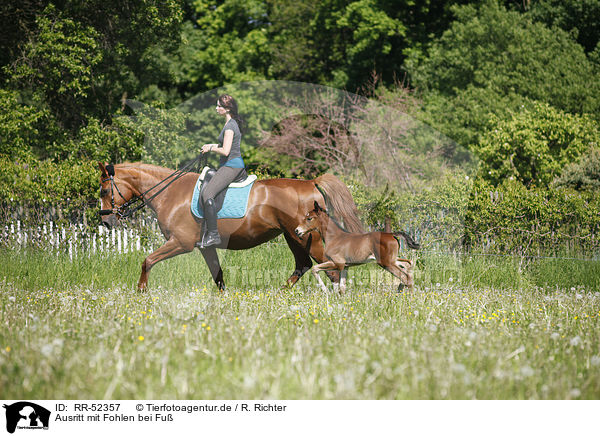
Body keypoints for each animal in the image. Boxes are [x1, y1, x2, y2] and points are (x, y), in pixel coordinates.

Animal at [98, 162, 364, 292]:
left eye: (103, 190)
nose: (106, 221)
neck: (171, 193)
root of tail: (310, 182)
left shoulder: (180, 243)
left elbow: (148, 261)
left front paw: (141, 292)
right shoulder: (205, 247)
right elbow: (218, 275)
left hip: (307, 238)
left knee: (329, 268)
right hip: (293, 236)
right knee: (304, 264)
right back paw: (280, 293)